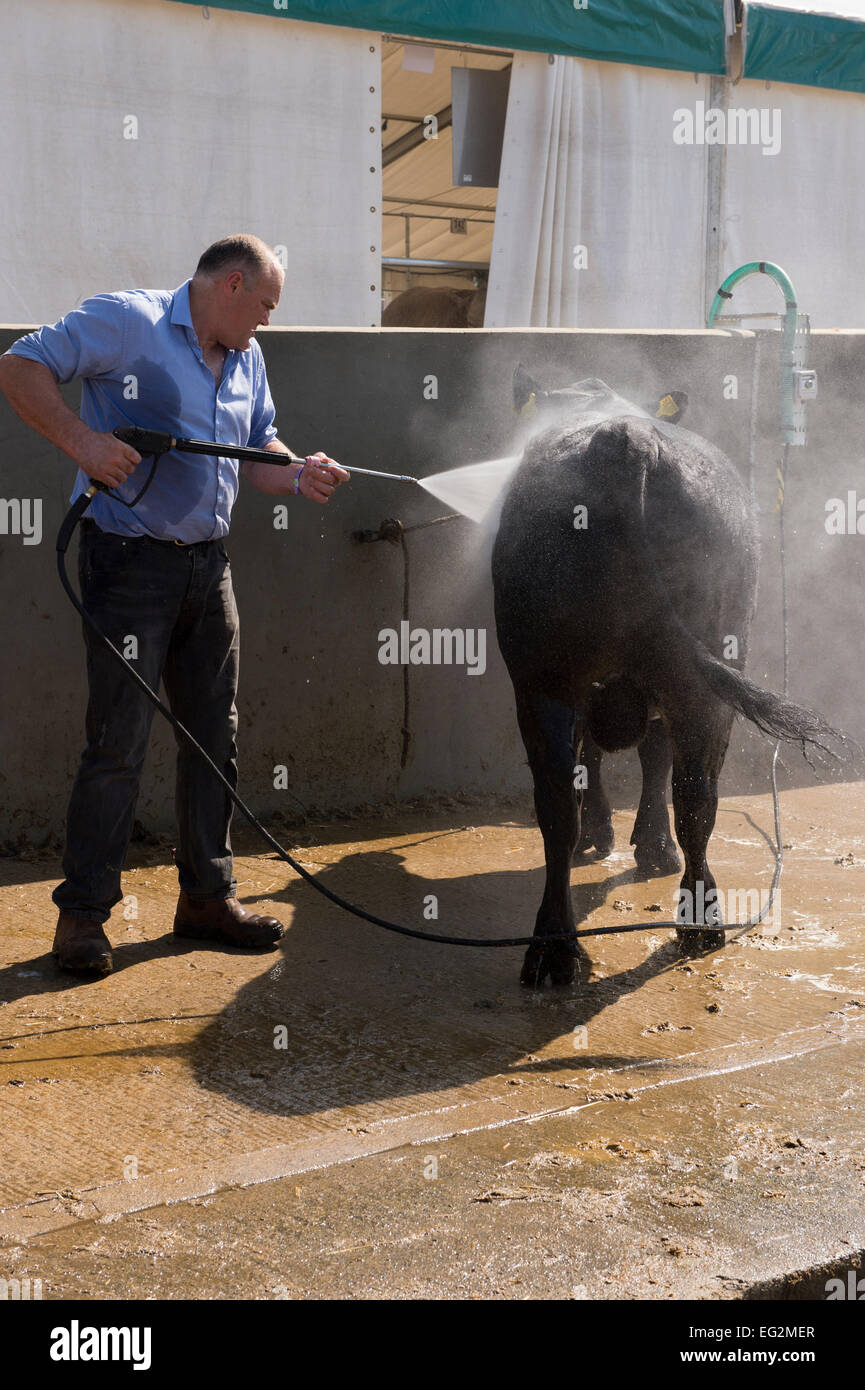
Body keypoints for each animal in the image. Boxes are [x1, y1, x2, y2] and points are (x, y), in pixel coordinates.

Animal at [495, 380, 845, 989]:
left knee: (561, 802)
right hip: (695, 678)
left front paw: (620, 838)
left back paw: (555, 950)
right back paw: (699, 923)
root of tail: (622, 436)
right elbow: (652, 762)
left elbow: (619, 760)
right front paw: (644, 844)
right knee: (694, 794)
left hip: (545, 684)